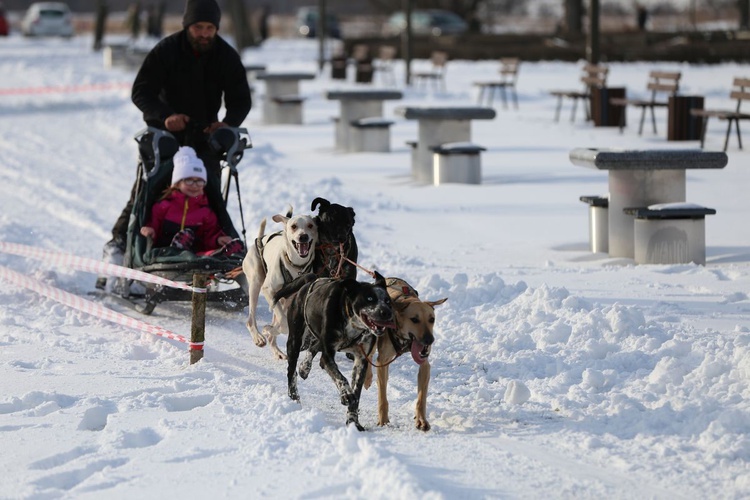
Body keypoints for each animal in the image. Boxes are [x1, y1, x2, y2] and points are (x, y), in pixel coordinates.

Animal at [242, 210, 318, 360]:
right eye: (294, 226)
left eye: (310, 225)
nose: (303, 236)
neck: (295, 266)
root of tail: (260, 238)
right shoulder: (269, 291)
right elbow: (283, 323)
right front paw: (267, 330)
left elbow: (283, 325)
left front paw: (270, 330)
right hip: (256, 282)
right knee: (250, 319)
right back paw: (258, 337)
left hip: (283, 300)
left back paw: (276, 349)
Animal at [274, 270, 396, 430]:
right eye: (369, 298)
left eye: (387, 301)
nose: (387, 312)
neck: (352, 323)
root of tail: (309, 280)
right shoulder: (327, 356)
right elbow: (341, 378)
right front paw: (346, 395)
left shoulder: (361, 360)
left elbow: (356, 393)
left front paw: (353, 421)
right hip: (295, 342)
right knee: (291, 372)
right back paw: (294, 397)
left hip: (315, 339)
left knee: (313, 348)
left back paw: (304, 367)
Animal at [366, 278, 446, 430]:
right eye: (414, 319)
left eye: (431, 319)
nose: (430, 340)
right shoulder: (382, 361)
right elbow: (382, 397)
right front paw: (383, 420)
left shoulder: (425, 365)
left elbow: (421, 398)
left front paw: (421, 419)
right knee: (368, 356)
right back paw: (367, 379)